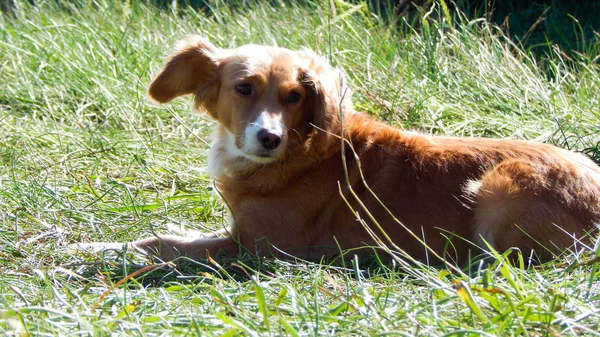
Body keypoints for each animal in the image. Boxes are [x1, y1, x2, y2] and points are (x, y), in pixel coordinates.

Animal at [81, 35, 600, 264]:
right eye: (244, 88)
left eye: (294, 95)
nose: (268, 138)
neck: (298, 153)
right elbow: (173, 232)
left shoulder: (257, 247)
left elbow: (164, 245)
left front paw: (93, 250)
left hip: (496, 190)